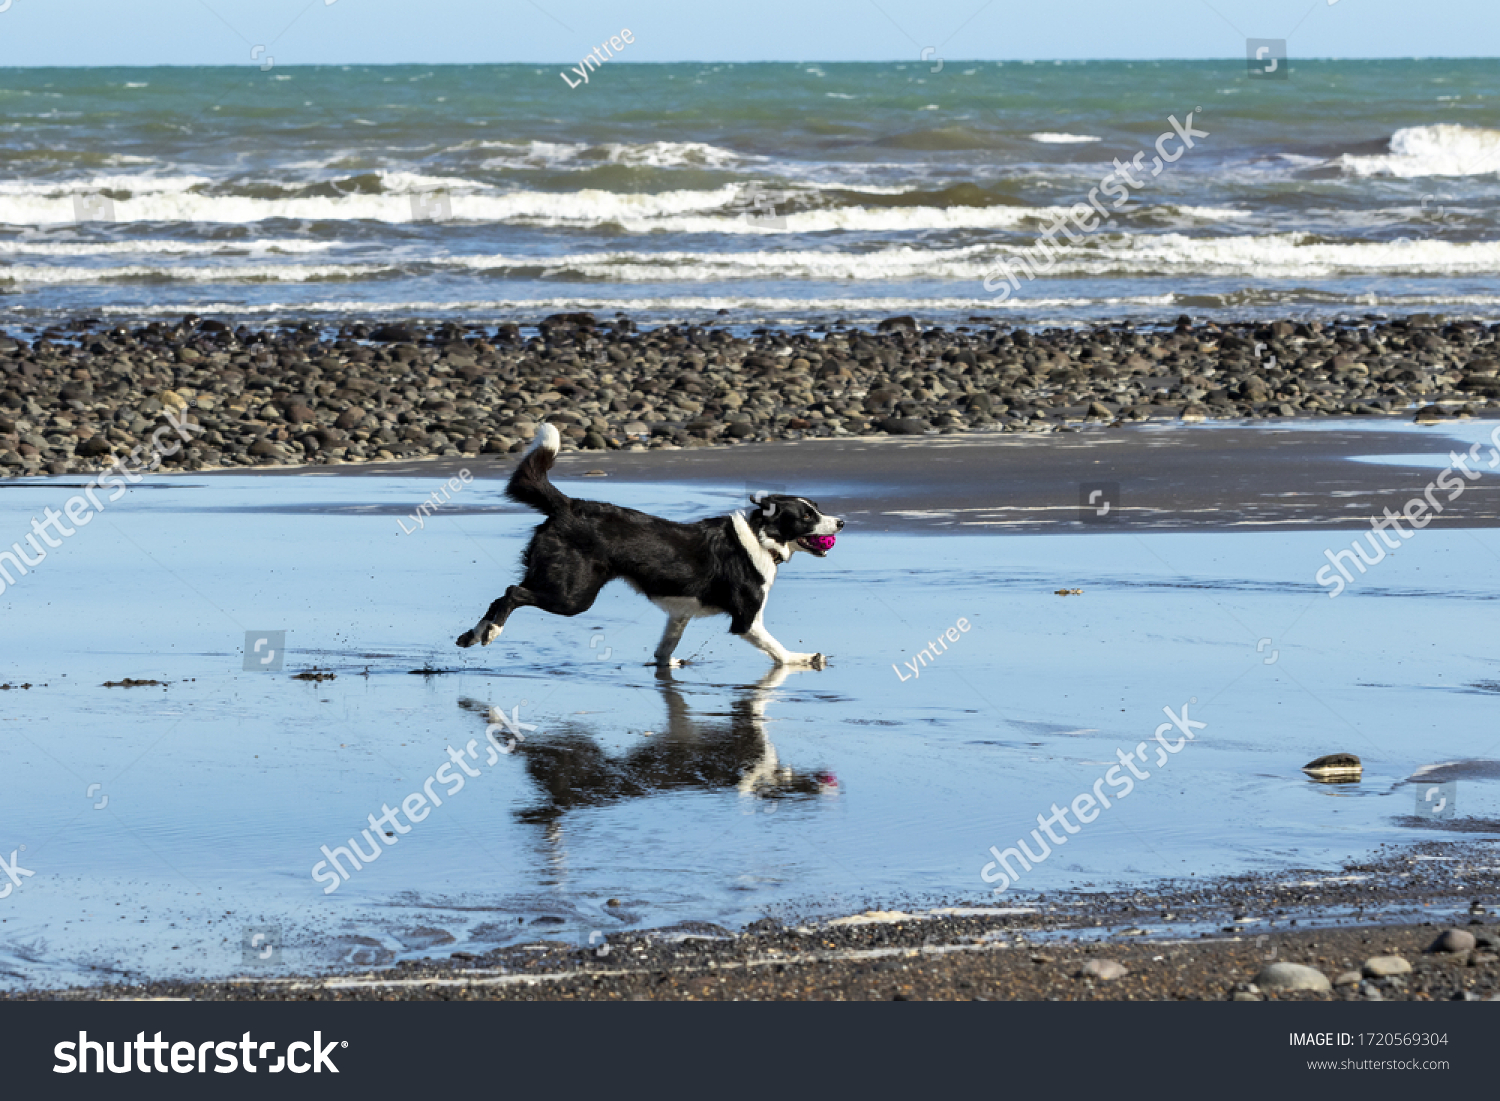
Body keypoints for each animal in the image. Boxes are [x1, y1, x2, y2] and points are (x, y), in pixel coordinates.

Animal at [450, 429, 846, 672]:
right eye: (808, 516)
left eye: (817, 508)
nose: (842, 522)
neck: (760, 536)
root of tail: (568, 505)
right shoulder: (747, 619)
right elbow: (777, 650)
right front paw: (803, 658)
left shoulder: (680, 614)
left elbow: (664, 649)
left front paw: (666, 667)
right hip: (574, 595)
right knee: (513, 592)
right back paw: (491, 632)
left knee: (505, 593)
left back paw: (472, 635)